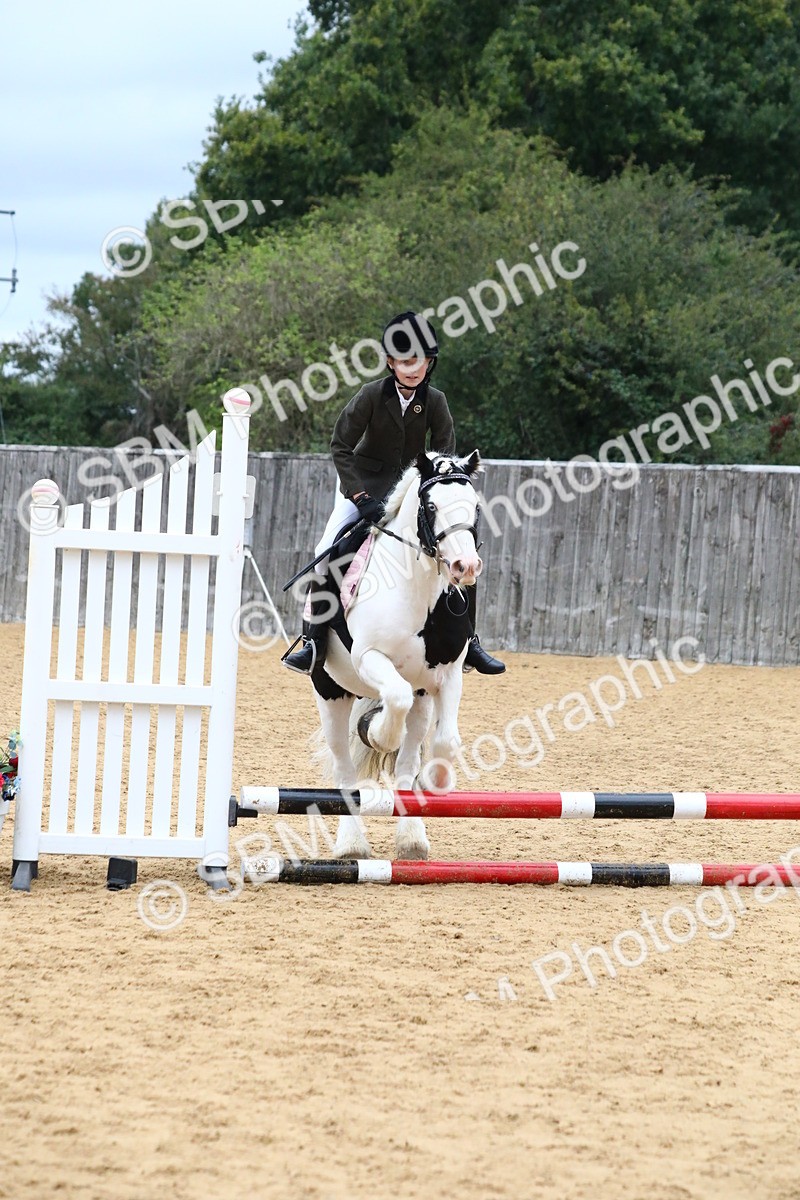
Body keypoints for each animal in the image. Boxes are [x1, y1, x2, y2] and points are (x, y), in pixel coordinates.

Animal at [310, 449, 483, 860]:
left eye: (475, 507)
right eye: (431, 505)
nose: (465, 567)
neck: (416, 590)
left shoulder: (448, 674)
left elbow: (445, 740)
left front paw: (436, 780)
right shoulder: (370, 658)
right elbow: (394, 702)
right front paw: (375, 733)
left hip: (422, 699)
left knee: (407, 760)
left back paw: (412, 840)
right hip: (330, 690)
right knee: (344, 768)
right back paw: (352, 845)